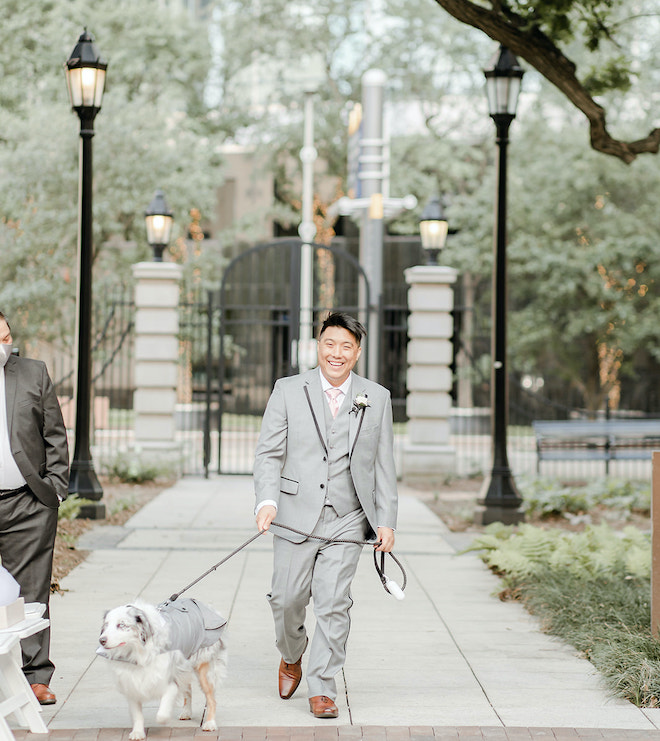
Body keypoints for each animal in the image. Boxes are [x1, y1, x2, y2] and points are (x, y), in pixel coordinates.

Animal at [96, 600, 227, 736]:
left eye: (121, 625)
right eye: (106, 625)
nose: (101, 640)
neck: (137, 651)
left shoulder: (170, 676)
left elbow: (162, 712)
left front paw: (163, 719)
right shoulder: (131, 681)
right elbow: (137, 713)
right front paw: (138, 733)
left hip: (203, 668)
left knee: (211, 698)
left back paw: (210, 724)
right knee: (188, 690)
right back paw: (186, 712)